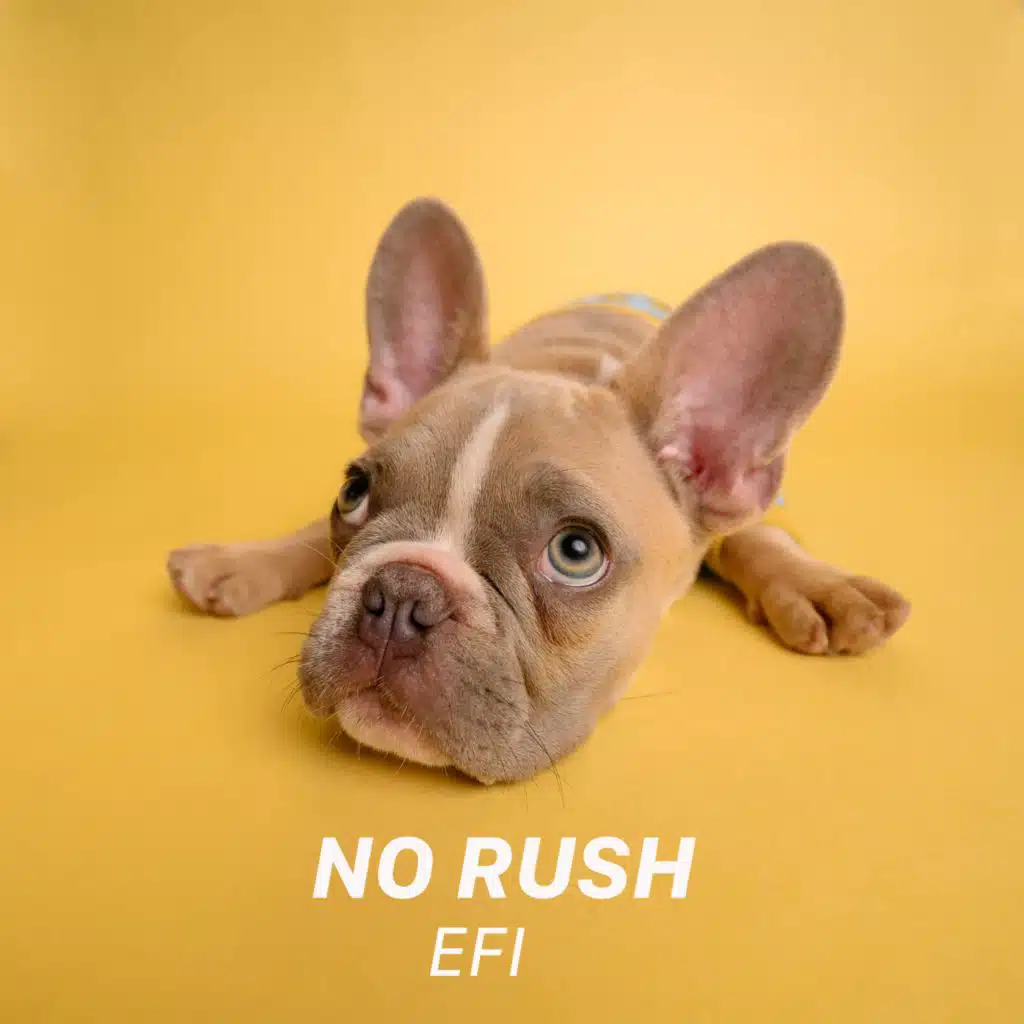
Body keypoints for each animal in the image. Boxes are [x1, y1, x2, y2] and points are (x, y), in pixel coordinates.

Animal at [167, 198, 910, 784]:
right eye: (353, 492)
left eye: (576, 553)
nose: (400, 595)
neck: (570, 366)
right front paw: (242, 561)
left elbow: (754, 538)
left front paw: (818, 586)